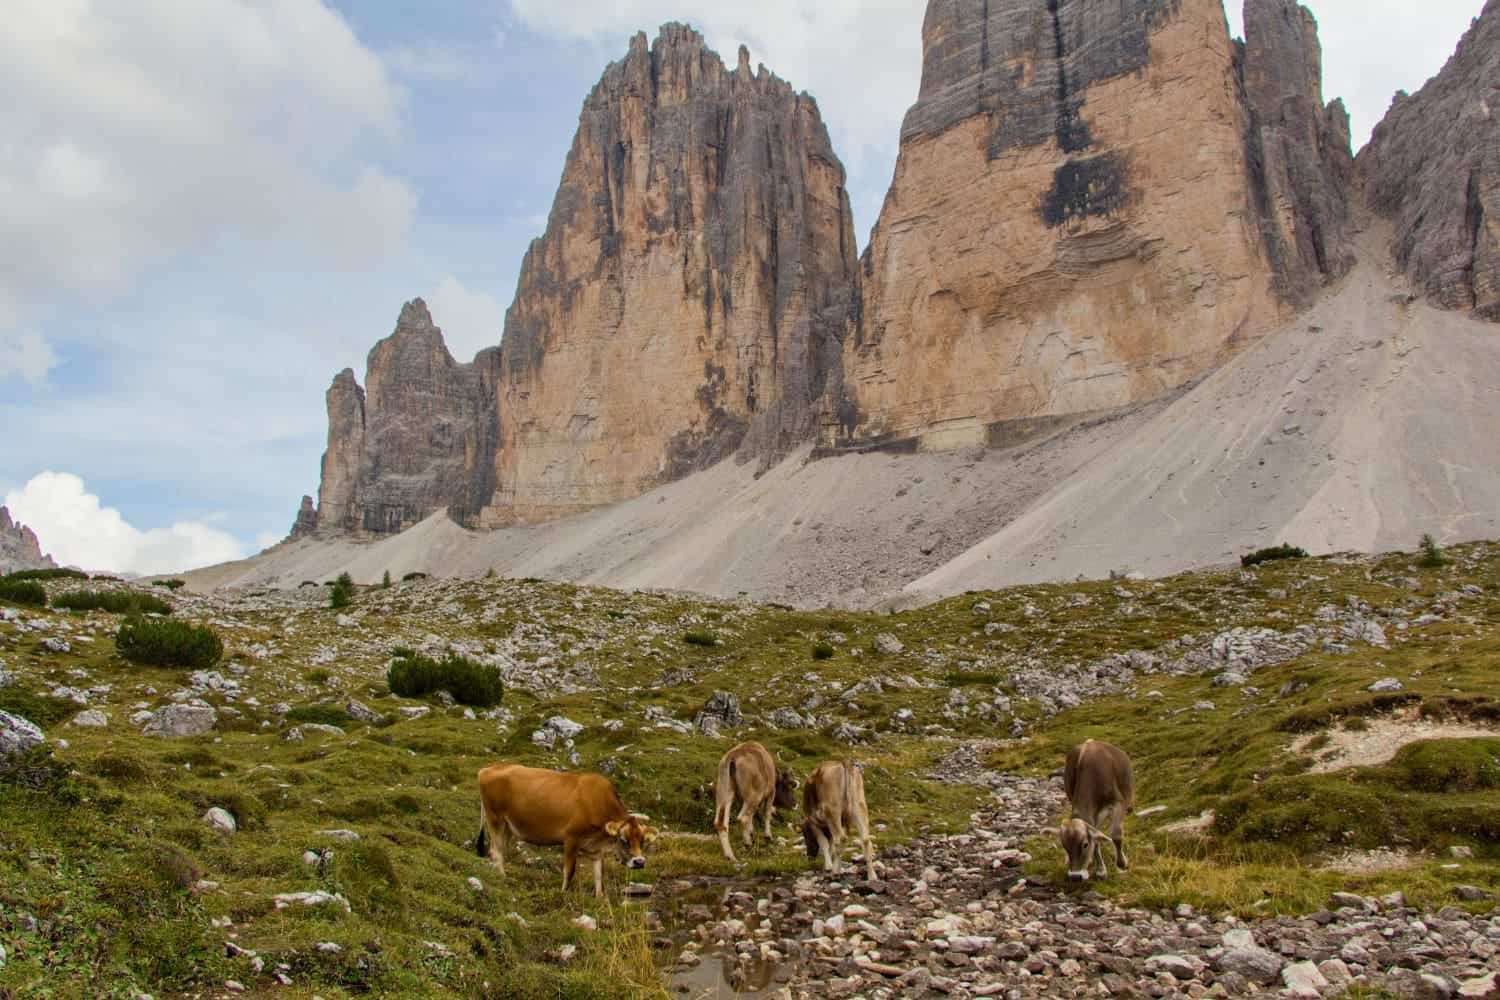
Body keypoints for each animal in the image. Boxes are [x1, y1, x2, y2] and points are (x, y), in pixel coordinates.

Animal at [475, 763, 657, 897]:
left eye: (643, 841)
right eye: (623, 840)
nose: (639, 862)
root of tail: (488, 769)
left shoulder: (596, 849)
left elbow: (599, 874)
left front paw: (599, 898)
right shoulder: (571, 838)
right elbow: (569, 870)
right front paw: (563, 893)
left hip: (507, 826)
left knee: (501, 851)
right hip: (495, 818)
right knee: (495, 851)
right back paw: (502, 879)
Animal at [1056, 739, 1135, 881]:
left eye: (1085, 844)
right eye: (1064, 846)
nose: (1075, 876)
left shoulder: (1118, 803)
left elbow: (1116, 835)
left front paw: (1122, 864)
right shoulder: (1094, 816)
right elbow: (1097, 839)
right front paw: (1101, 871)